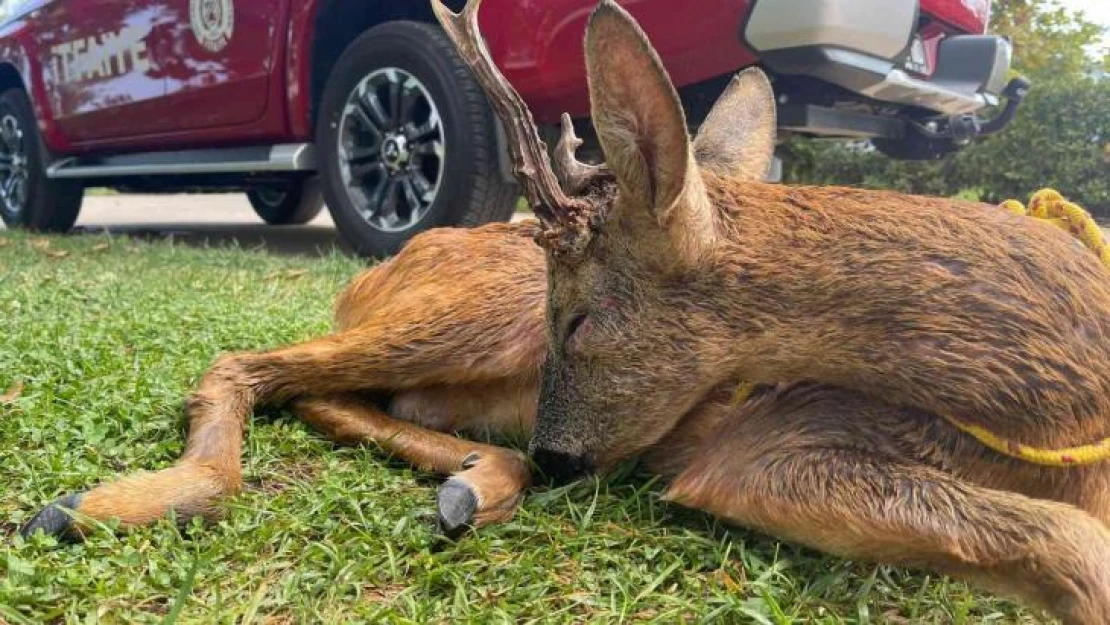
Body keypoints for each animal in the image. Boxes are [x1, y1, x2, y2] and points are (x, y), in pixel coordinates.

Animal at [19, 1, 1110, 621]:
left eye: (581, 320)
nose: (558, 451)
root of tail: (385, 263)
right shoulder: (760, 447)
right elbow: (1073, 546)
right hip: (464, 311)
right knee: (250, 361)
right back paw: (103, 504)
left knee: (337, 392)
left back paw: (473, 482)